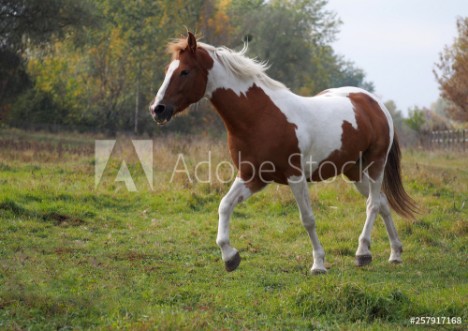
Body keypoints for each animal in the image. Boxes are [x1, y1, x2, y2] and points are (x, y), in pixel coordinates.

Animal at [150, 32, 416, 274]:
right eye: (168, 70)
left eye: (185, 72)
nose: (157, 109)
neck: (261, 117)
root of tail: (375, 103)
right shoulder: (253, 176)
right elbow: (225, 206)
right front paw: (230, 257)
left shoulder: (295, 176)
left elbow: (307, 219)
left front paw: (318, 264)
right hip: (355, 172)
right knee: (383, 203)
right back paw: (395, 253)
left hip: (375, 165)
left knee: (373, 204)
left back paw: (362, 253)